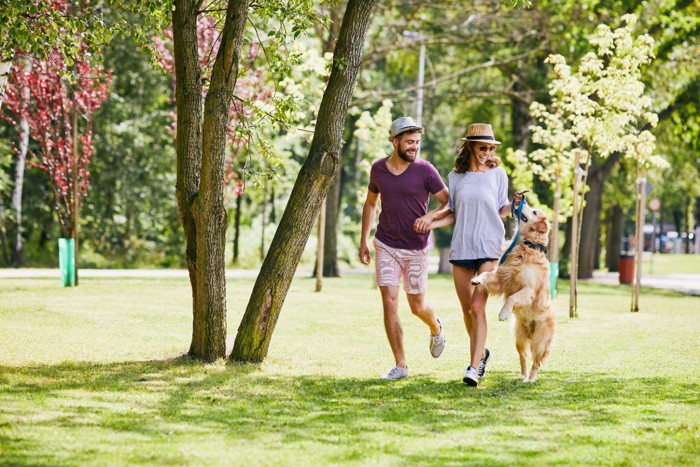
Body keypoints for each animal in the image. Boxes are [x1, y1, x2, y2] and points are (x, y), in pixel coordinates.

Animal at [474, 203, 556, 382]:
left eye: (534, 212)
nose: (521, 201)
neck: (527, 244)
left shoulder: (528, 291)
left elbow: (512, 297)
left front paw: (503, 313)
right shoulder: (502, 277)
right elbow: (487, 274)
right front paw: (477, 279)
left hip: (540, 340)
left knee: (536, 363)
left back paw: (530, 379)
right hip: (519, 337)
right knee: (523, 357)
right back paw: (522, 376)